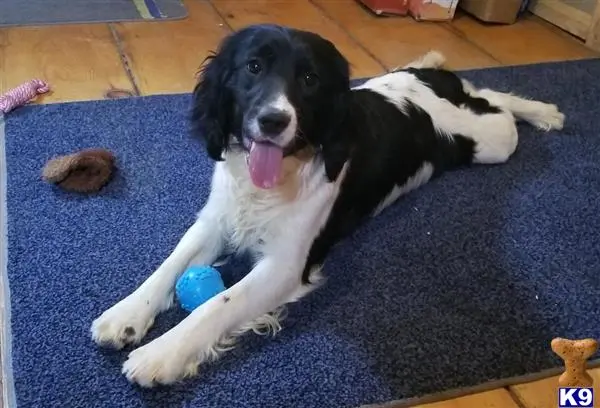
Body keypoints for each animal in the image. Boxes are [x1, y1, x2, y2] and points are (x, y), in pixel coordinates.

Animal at [91, 23, 564, 386]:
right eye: (253, 67)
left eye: (310, 79)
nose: (273, 121)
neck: (273, 179)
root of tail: (431, 82)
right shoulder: (216, 220)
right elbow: (170, 265)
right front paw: (125, 315)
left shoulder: (285, 266)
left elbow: (215, 305)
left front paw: (160, 354)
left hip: (491, 141)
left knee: (498, 102)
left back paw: (544, 112)